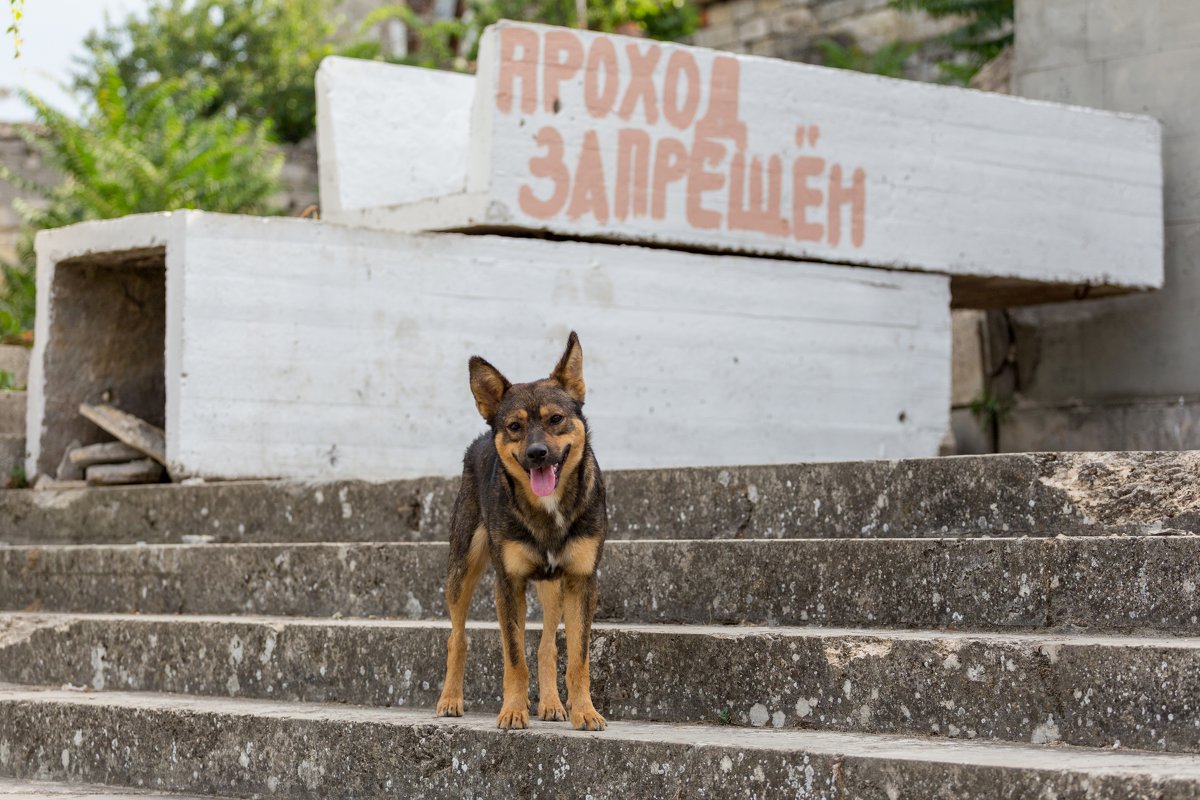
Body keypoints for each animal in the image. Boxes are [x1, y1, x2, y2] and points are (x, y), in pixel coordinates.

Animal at [434, 331, 609, 734]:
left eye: (556, 419)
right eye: (514, 426)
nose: (537, 453)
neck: (548, 510)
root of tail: (481, 437)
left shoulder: (581, 580)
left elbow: (577, 658)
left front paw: (585, 711)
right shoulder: (508, 582)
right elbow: (514, 656)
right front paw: (513, 711)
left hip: (552, 585)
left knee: (546, 645)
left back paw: (551, 704)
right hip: (462, 566)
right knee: (456, 635)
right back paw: (450, 699)